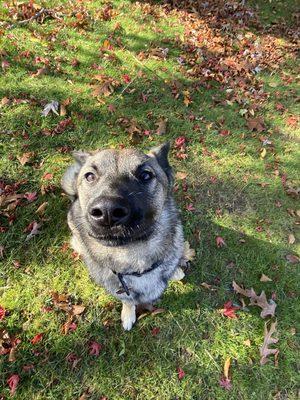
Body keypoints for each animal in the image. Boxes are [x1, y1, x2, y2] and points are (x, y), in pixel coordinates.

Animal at [61, 142, 185, 330]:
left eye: (145, 175)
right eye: (89, 176)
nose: (107, 211)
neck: (135, 262)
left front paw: (176, 270)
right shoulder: (123, 293)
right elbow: (128, 302)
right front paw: (128, 314)